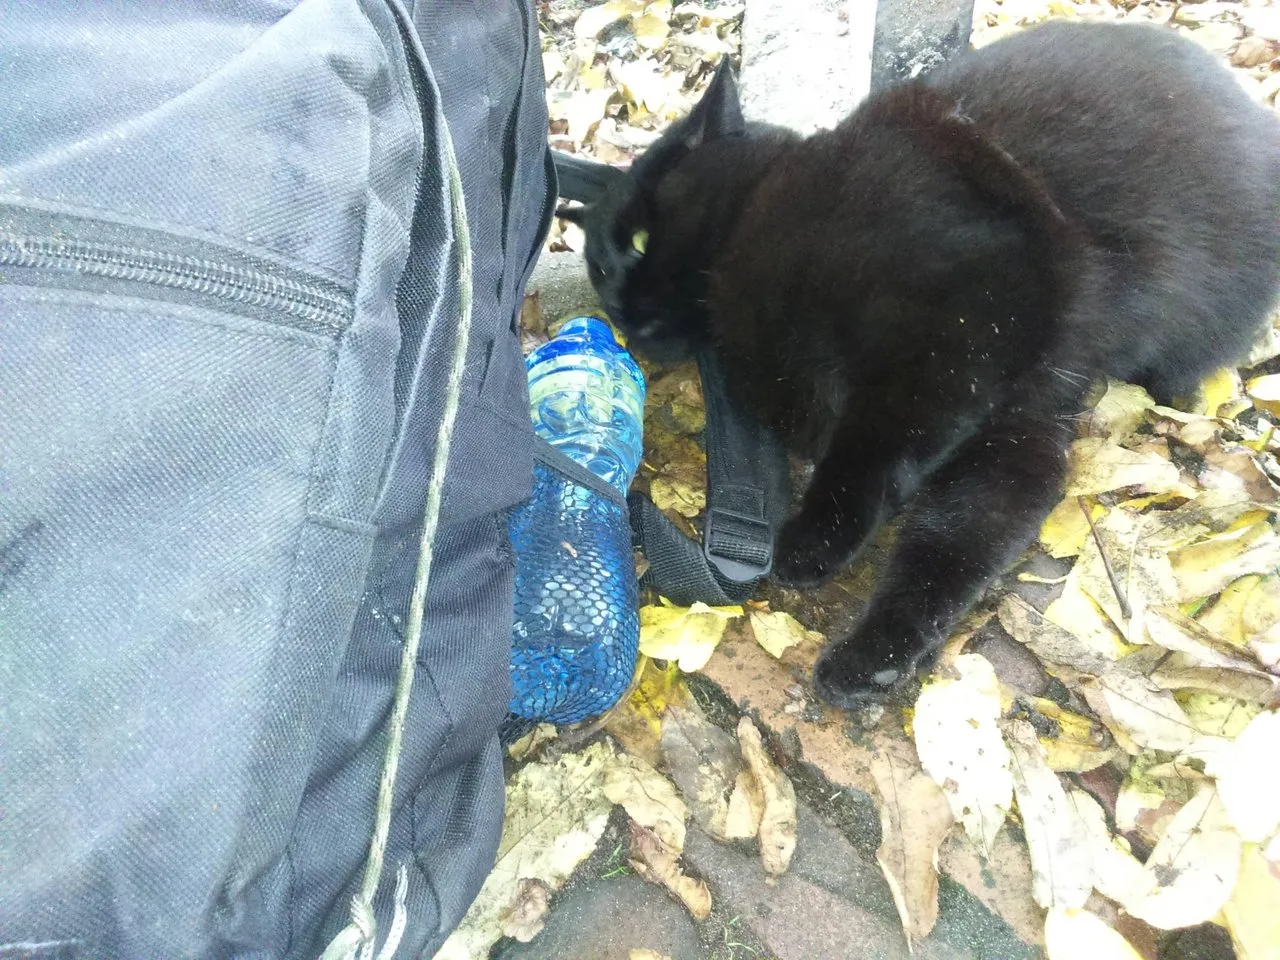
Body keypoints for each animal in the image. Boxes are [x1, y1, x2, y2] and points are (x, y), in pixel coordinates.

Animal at [558, 21, 1280, 708]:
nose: (618, 310)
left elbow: (869, 452)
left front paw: (813, 541)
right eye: (597, 268)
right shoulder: (1015, 431)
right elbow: (955, 544)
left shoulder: (964, 327)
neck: (760, 206)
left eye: (635, 241)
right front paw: (876, 656)